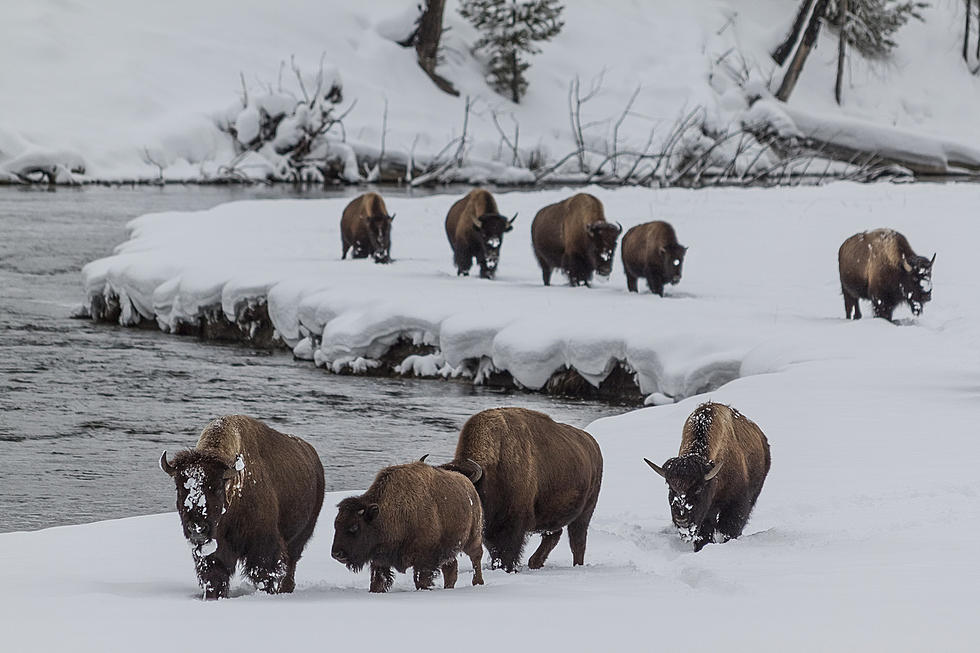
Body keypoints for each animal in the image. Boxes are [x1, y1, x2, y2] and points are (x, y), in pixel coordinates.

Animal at [161, 416, 326, 600]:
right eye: (179, 488)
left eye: (217, 487)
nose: (197, 528)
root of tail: (313, 456)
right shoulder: (215, 549)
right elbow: (215, 574)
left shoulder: (263, 544)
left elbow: (264, 573)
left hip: (301, 535)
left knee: (291, 563)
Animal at [330, 458, 482, 592]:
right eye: (336, 525)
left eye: (354, 527)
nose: (336, 554)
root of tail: (468, 483)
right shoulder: (380, 560)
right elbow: (378, 581)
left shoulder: (424, 560)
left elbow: (421, 581)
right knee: (451, 568)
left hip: (473, 537)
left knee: (476, 557)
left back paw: (478, 583)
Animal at [438, 408, 604, 572]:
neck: (491, 472)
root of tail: (593, 444)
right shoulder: (492, 529)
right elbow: (496, 552)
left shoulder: (514, 525)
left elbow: (508, 553)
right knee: (554, 534)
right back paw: (535, 563)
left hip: (585, 511)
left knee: (577, 542)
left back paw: (576, 565)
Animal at [644, 402, 772, 552]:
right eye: (671, 488)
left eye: (698, 488)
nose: (682, 518)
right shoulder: (706, 512)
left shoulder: (736, 503)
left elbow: (730, 527)